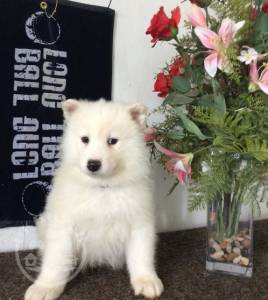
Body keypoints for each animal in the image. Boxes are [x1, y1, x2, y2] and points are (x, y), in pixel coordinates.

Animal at [24, 99, 163, 298]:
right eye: (85, 139)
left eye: (112, 141)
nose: (93, 164)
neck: (101, 187)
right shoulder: (63, 225)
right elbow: (56, 260)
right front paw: (45, 287)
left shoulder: (139, 222)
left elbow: (141, 255)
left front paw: (146, 281)